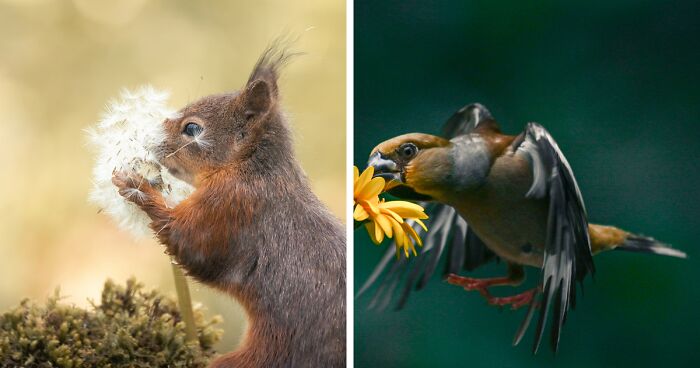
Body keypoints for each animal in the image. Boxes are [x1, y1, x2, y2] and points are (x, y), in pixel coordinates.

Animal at [110, 44, 348, 366]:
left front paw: (137, 187)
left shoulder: (230, 208)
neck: (251, 169)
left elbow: (190, 244)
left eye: (192, 128)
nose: (148, 136)